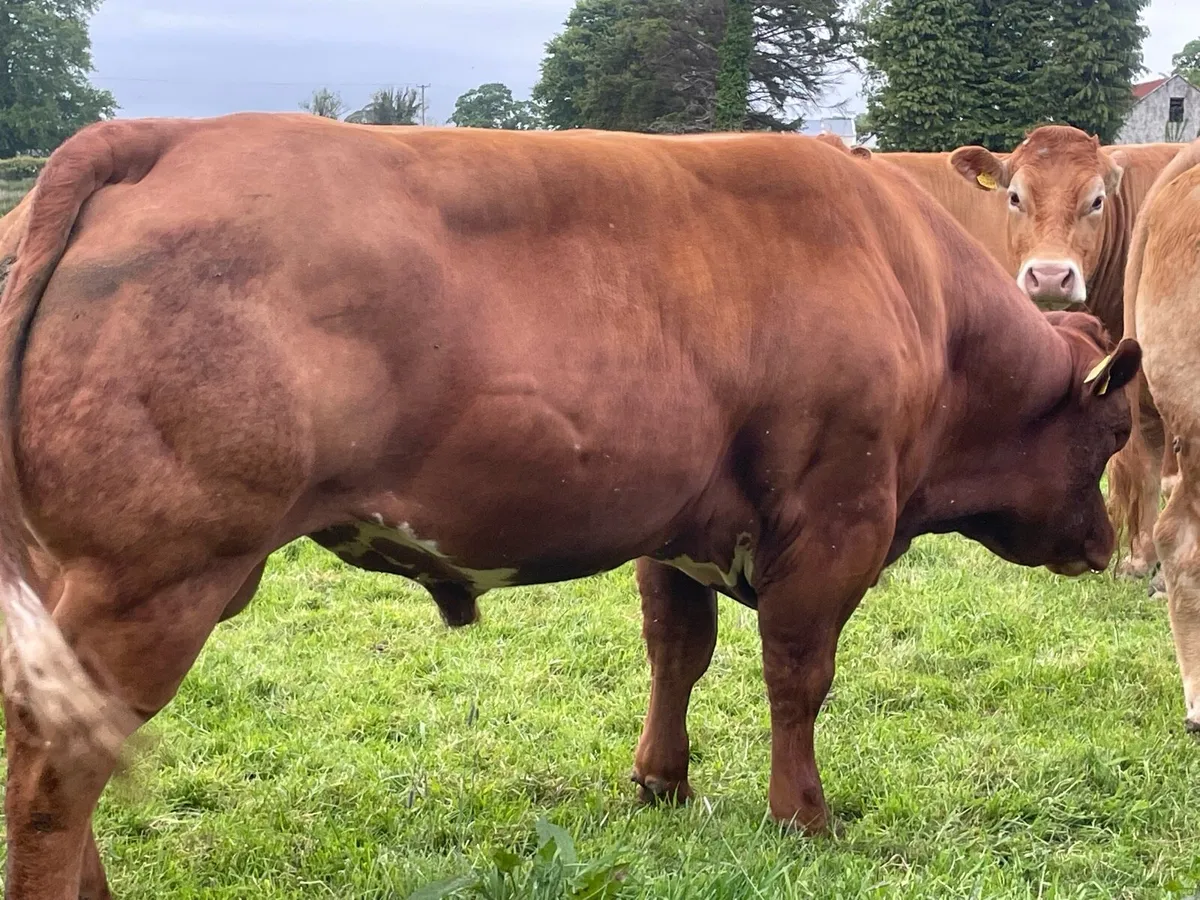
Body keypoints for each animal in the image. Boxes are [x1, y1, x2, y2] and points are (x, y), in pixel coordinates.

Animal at [0, 113, 1139, 897]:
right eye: (1111, 436)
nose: (1101, 545)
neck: (917, 295)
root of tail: (162, 135)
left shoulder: (677, 527)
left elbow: (677, 652)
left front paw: (663, 785)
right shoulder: (836, 520)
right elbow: (797, 676)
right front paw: (803, 819)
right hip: (160, 574)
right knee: (59, 763)